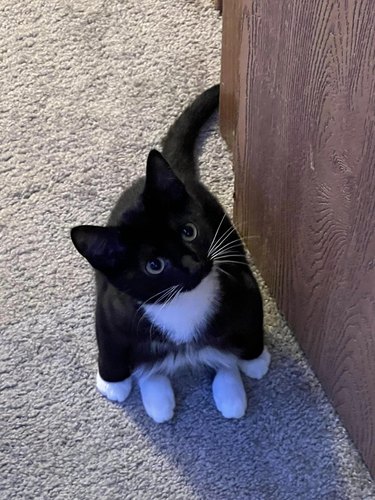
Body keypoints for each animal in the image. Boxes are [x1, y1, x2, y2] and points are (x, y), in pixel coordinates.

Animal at [71, 86, 270, 422]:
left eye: (188, 231)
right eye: (154, 265)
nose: (194, 263)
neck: (180, 303)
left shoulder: (241, 286)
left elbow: (250, 326)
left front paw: (255, 360)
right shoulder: (113, 308)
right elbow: (111, 347)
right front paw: (113, 383)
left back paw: (229, 391)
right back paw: (158, 399)